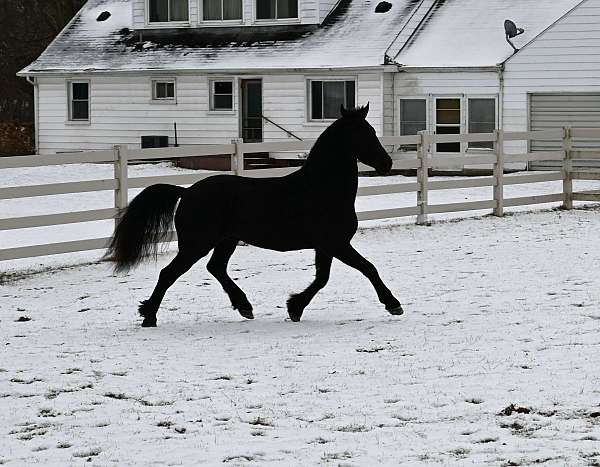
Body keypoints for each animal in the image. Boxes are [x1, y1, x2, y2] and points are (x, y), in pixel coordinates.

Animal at [105, 104, 404, 328]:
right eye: (362, 134)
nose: (387, 163)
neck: (320, 188)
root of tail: (187, 191)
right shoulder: (336, 243)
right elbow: (367, 268)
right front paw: (393, 305)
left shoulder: (327, 246)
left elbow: (323, 278)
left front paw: (295, 308)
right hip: (196, 244)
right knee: (169, 273)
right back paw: (149, 317)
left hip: (225, 241)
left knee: (216, 268)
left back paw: (244, 307)